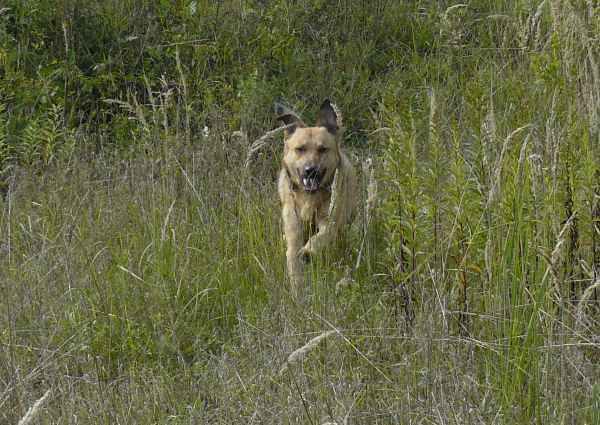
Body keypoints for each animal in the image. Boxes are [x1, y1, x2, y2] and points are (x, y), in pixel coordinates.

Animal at [276, 100, 357, 288]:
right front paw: (297, 288)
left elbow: (319, 238)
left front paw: (308, 252)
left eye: (322, 149)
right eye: (300, 149)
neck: (309, 198)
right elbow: (293, 260)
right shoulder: (294, 231)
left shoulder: (330, 222)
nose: (310, 170)